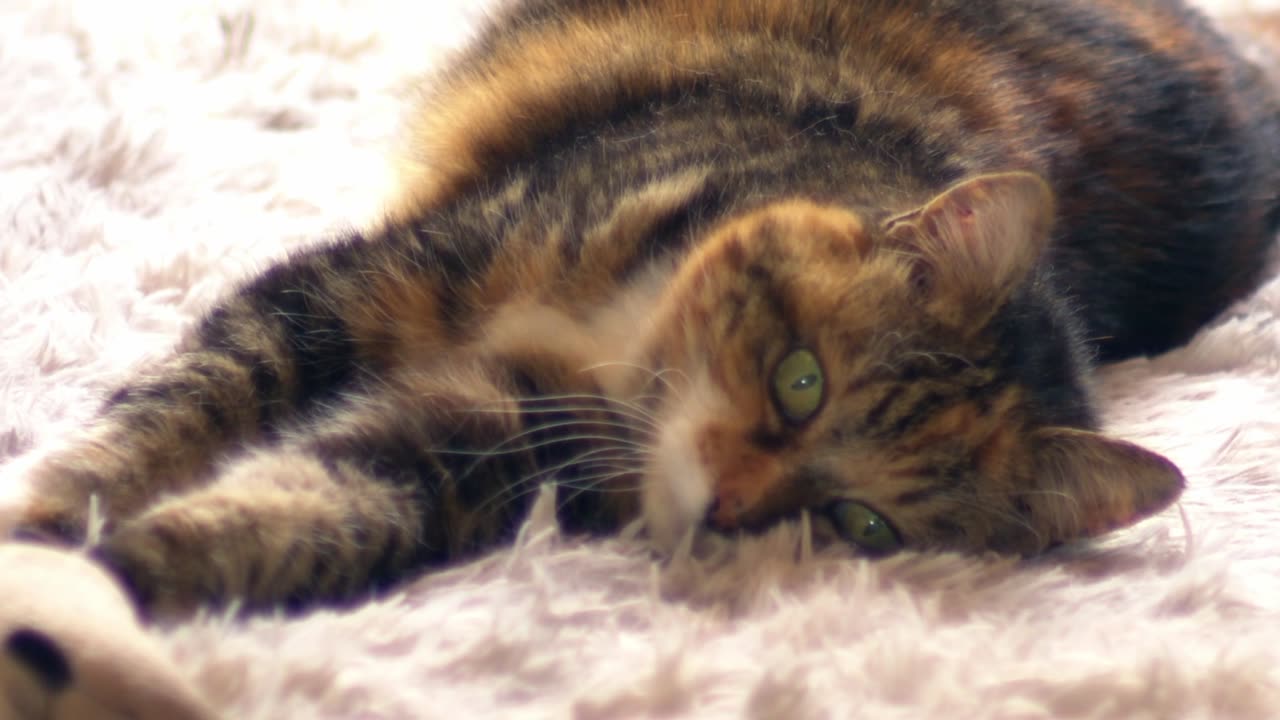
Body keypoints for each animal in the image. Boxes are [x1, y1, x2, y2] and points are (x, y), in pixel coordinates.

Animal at [10, 0, 1280, 617]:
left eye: (862, 524)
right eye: (799, 379)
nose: (730, 507)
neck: (616, 340)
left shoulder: (494, 432)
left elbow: (321, 500)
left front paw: (116, 579)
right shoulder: (370, 281)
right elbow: (188, 403)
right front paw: (53, 507)